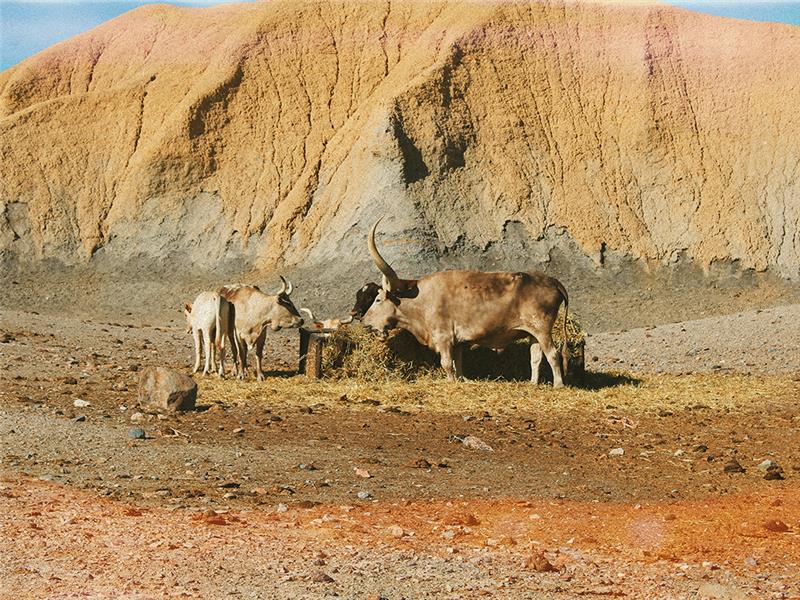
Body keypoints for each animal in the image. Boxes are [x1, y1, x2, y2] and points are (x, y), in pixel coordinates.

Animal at [361, 221, 570, 387]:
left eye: (378, 299)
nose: (364, 322)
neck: (421, 300)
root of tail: (551, 281)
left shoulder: (444, 338)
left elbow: (447, 364)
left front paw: (451, 382)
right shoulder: (458, 343)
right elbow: (458, 364)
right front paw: (459, 380)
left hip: (542, 330)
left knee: (553, 354)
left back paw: (558, 385)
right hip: (532, 332)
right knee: (536, 357)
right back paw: (533, 383)